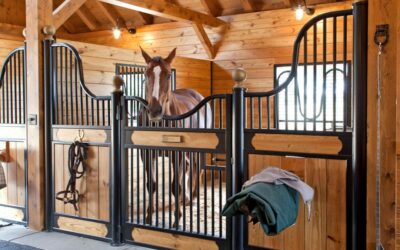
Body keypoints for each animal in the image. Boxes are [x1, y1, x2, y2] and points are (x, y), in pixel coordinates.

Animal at [139, 47, 211, 227]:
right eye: (146, 74)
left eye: (168, 75)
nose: (155, 111)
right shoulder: (146, 154)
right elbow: (151, 184)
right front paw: (149, 216)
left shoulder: (176, 154)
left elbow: (174, 186)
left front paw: (177, 219)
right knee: (188, 167)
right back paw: (186, 198)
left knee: (196, 168)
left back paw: (193, 197)